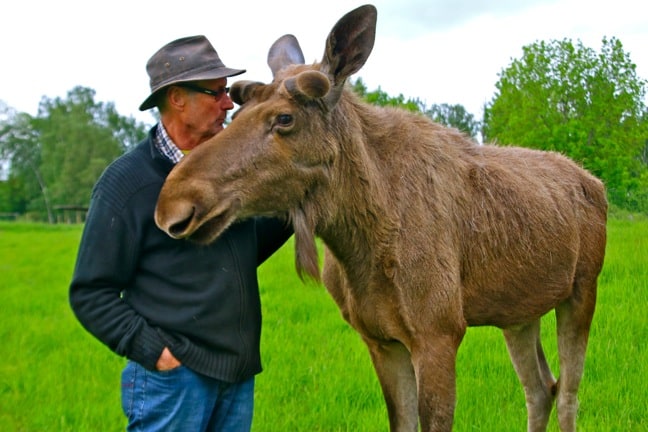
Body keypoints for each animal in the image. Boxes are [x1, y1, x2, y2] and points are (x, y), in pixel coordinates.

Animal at [156, 4, 608, 432]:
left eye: (285, 118)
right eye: (233, 115)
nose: (172, 205)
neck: (360, 242)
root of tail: (596, 183)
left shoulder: (439, 332)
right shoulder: (380, 339)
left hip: (582, 289)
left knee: (568, 393)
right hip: (519, 312)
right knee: (541, 389)